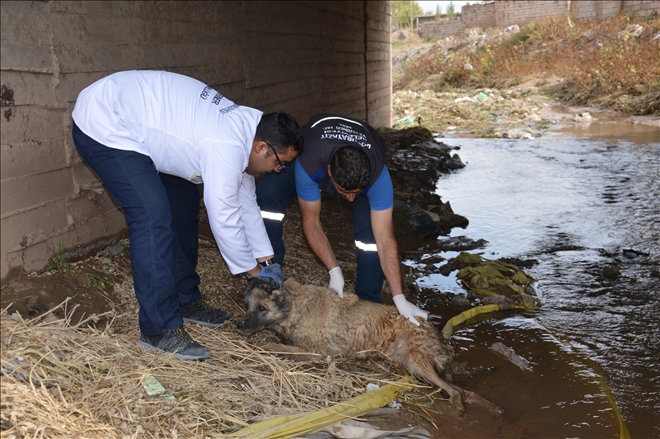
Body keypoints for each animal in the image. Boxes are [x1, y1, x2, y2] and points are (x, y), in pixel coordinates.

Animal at [237, 278, 500, 416]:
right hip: (410, 363)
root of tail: (434, 331)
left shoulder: (314, 353)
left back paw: (459, 408)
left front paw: (263, 346)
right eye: (247, 305)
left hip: (416, 361)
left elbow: (276, 347)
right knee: (463, 390)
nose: (239, 325)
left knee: (456, 391)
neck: (295, 307)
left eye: (262, 308)